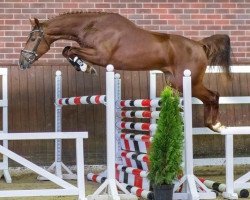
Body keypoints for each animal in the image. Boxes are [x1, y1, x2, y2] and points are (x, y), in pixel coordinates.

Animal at [18, 11, 231, 132]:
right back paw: (212, 124)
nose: (22, 62)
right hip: (176, 82)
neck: (92, 25)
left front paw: (86, 68)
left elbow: (70, 50)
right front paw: (83, 66)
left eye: (32, 38)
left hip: (188, 81)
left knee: (213, 95)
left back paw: (216, 125)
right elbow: (67, 50)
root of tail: (199, 45)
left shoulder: (101, 56)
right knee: (209, 97)